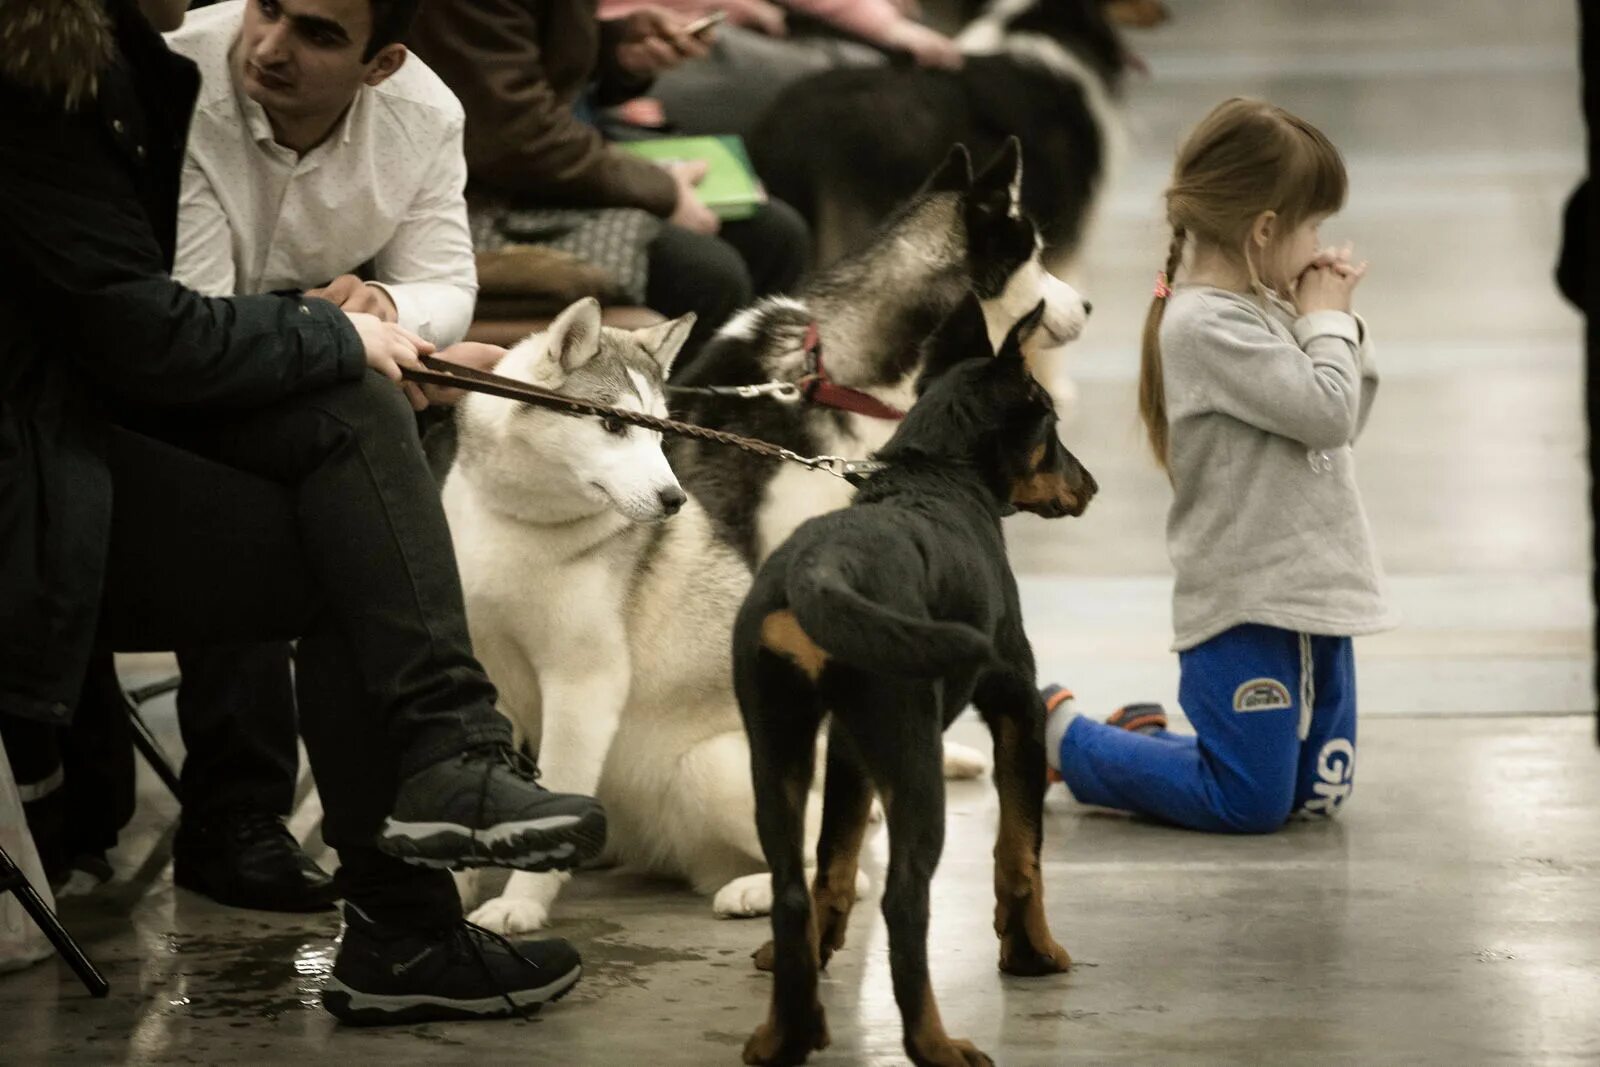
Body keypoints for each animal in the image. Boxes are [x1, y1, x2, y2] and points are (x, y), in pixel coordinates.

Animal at [732, 294, 1094, 1067]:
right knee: (905, 903)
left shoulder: (846, 750)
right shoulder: (1018, 706)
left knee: (790, 889)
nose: (1090, 485)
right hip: (914, 757)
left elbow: (834, 862)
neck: (937, 472)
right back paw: (936, 1043)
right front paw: (1034, 952)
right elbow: (1021, 852)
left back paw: (785, 1032)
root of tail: (821, 570)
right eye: (1051, 426)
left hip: (779, 750)